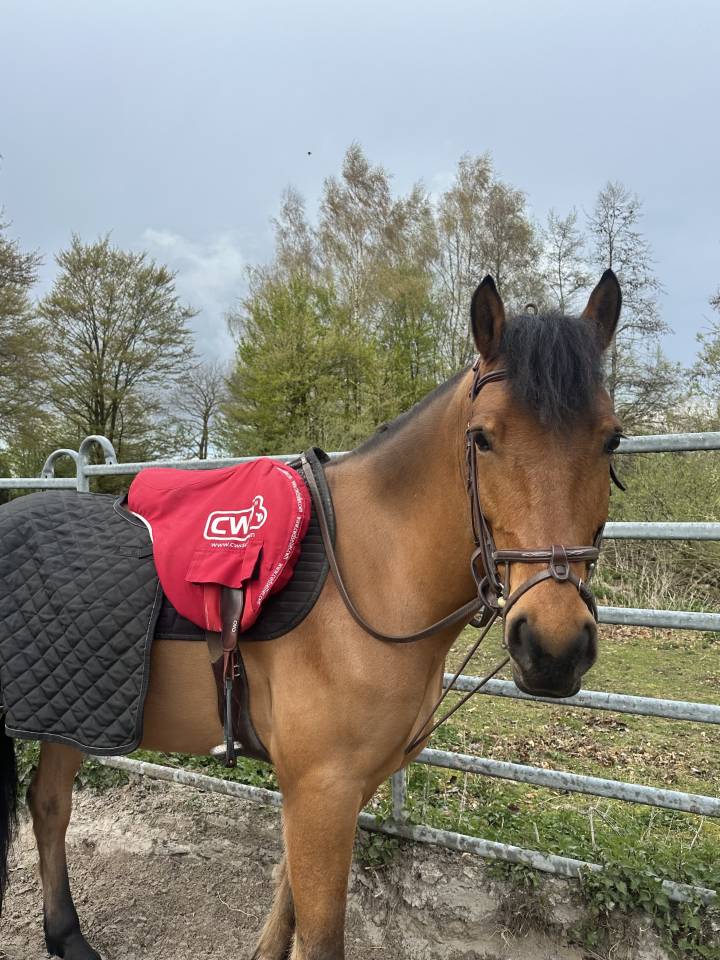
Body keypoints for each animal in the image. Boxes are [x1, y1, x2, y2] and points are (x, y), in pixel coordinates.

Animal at [0, 270, 622, 960]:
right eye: (482, 437)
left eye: (611, 439)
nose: (554, 648)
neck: (373, 574)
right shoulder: (322, 790)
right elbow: (319, 931)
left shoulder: (340, 788)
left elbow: (289, 902)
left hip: (65, 716)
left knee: (49, 804)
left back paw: (67, 935)